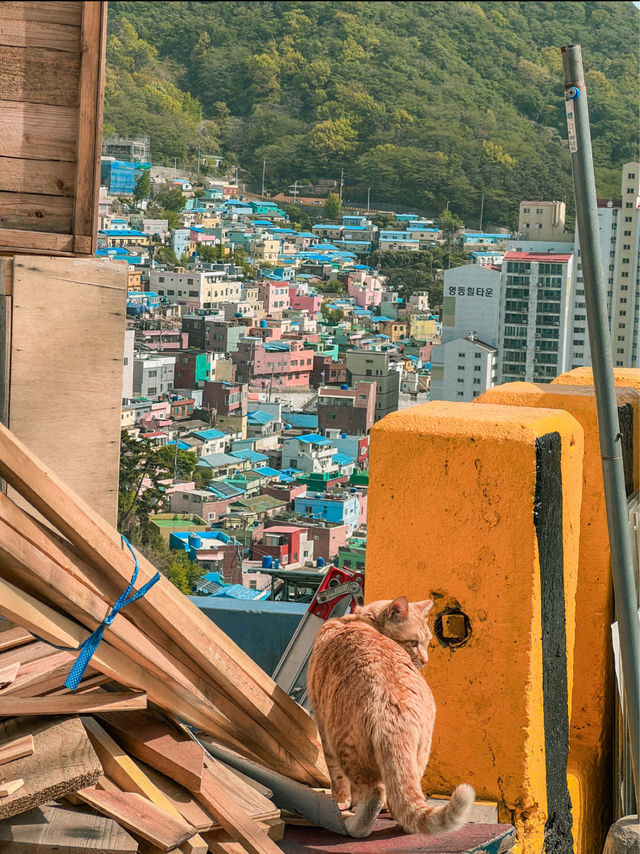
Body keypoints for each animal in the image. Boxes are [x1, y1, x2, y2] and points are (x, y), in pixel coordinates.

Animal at [304, 600, 476, 840]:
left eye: (427, 643)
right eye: (414, 643)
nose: (425, 660)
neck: (357, 620)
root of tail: (393, 704)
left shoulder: (322, 722)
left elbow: (337, 778)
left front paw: (342, 802)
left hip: (345, 746)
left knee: (374, 794)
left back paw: (353, 827)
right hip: (418, 754)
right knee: (403, 795)